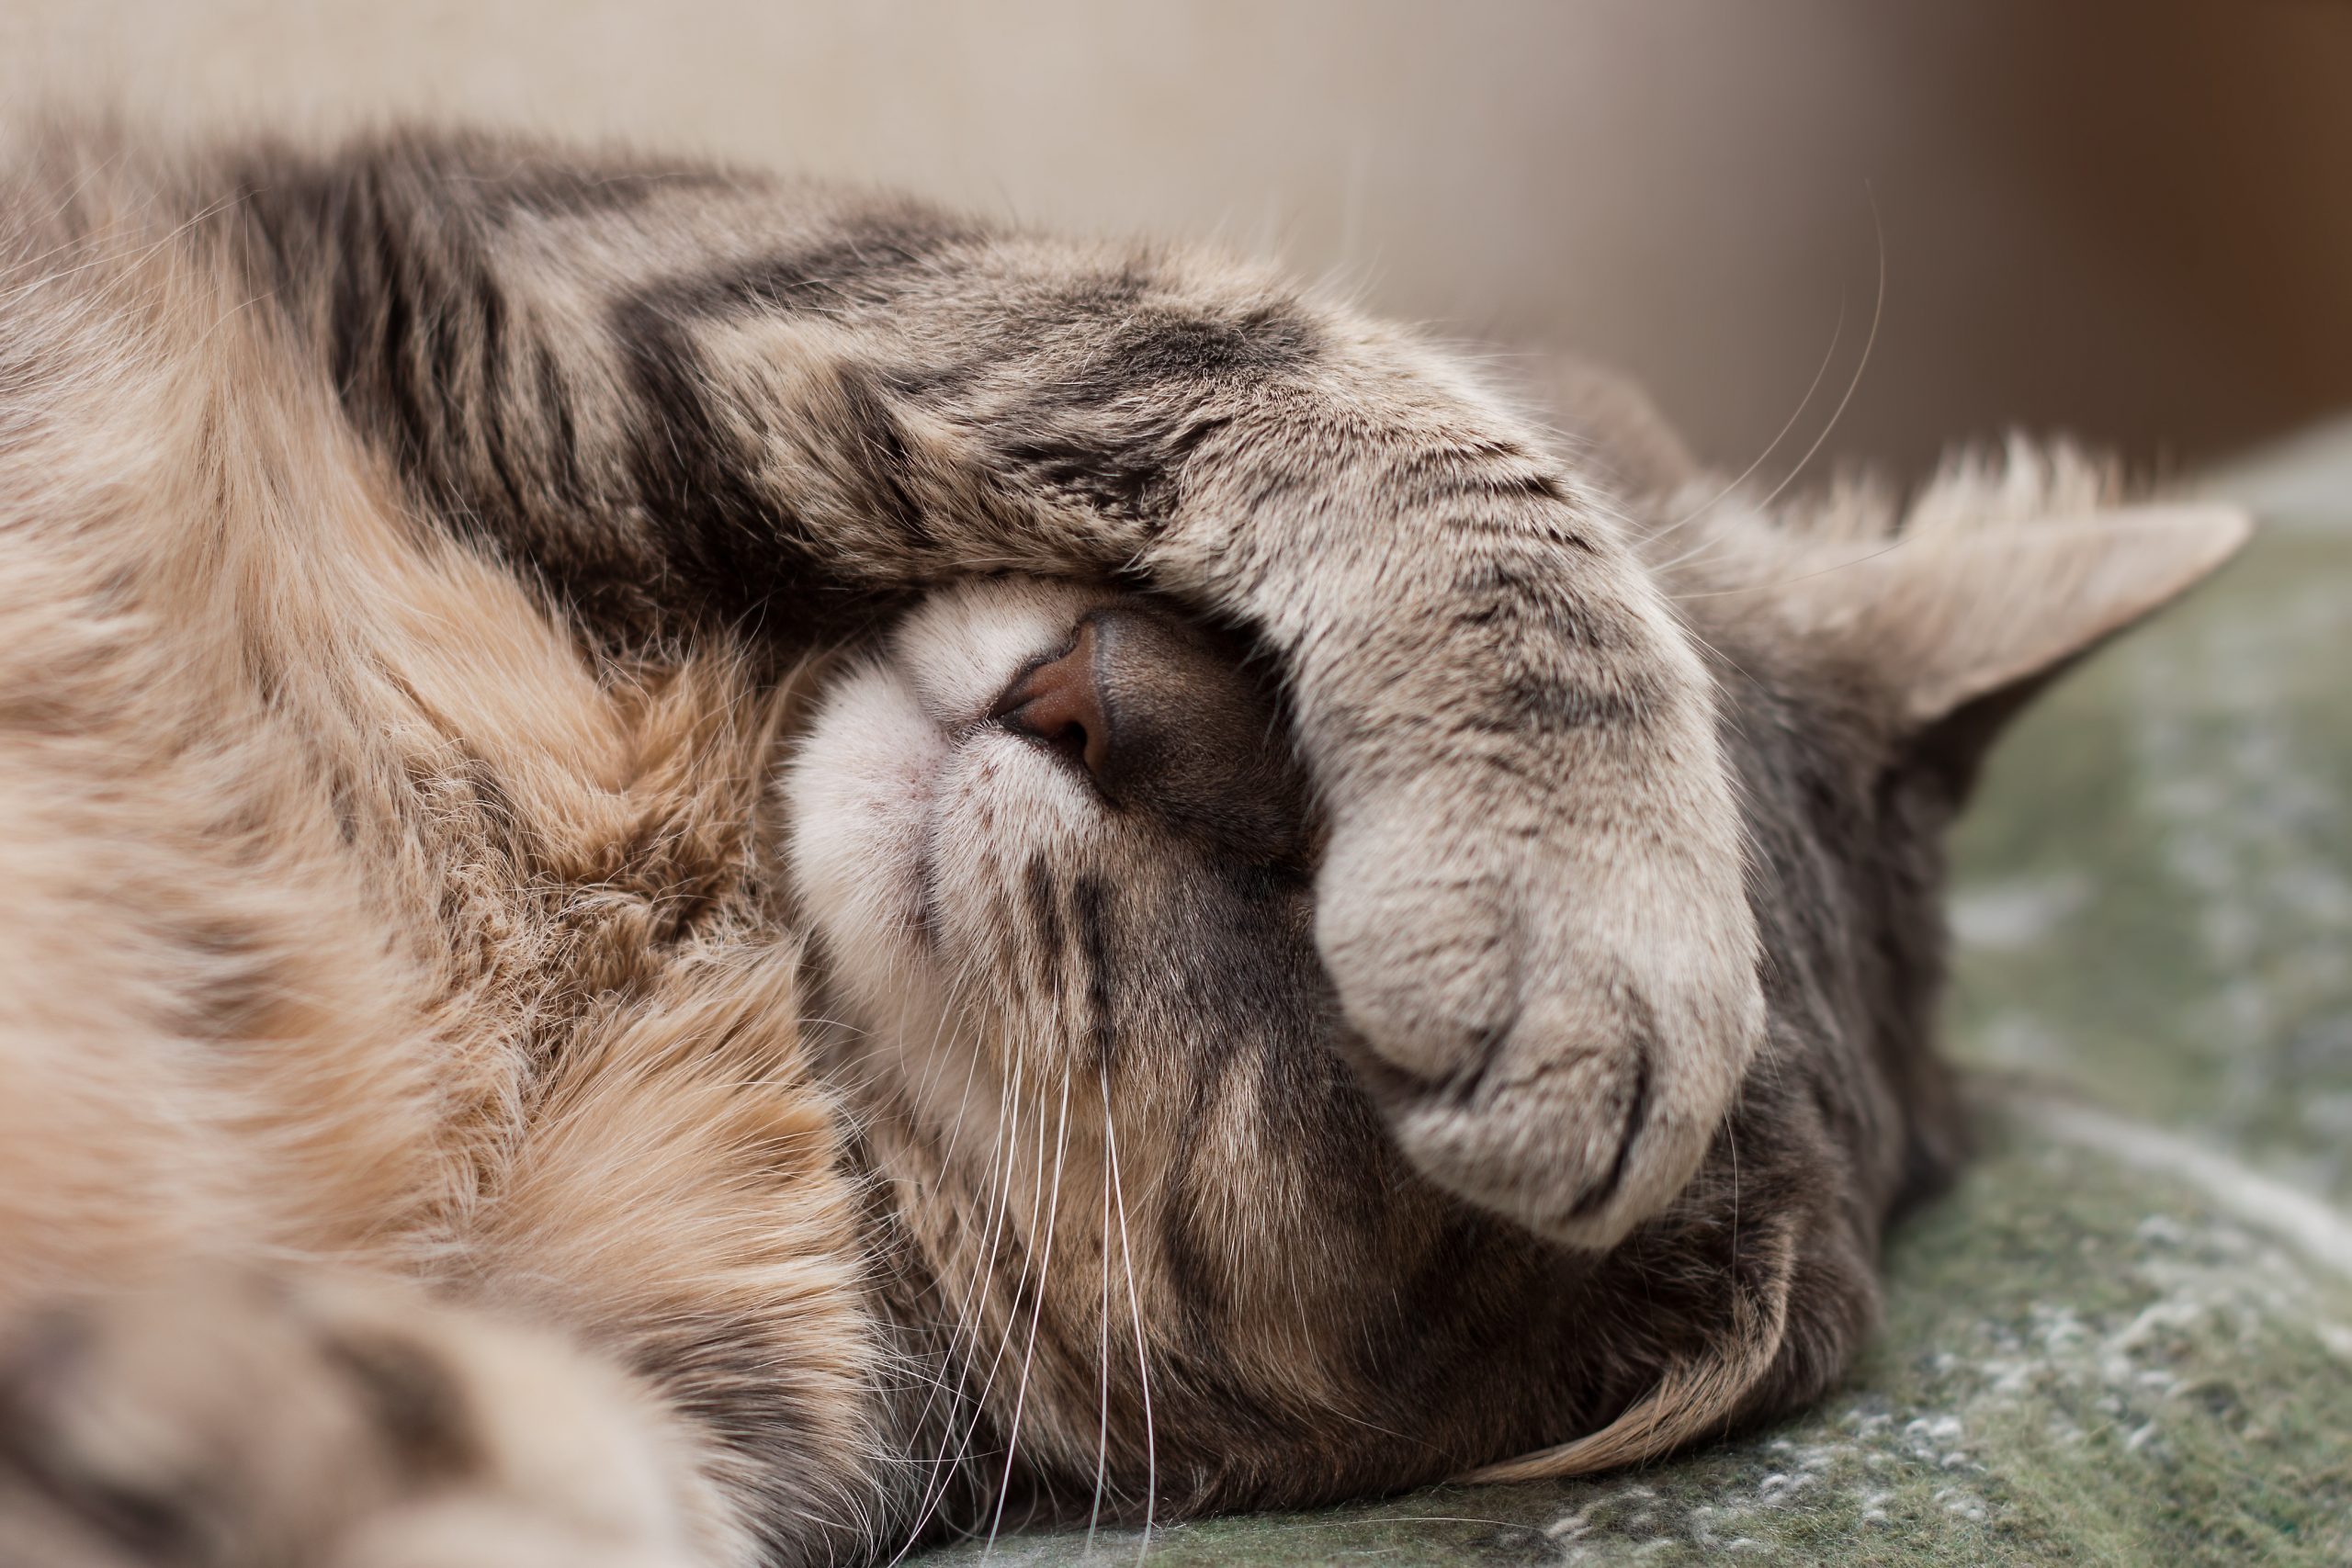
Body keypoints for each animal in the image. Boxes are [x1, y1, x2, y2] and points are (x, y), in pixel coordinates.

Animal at [0, 125, 2239, 1568]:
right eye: (1248, 649)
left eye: (1308, 950)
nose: (1091, 698)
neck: (700, 904)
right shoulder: (560, 219)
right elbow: (1274, 356)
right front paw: (1602, 898)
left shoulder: (704, 1380)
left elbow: (505, 1453)